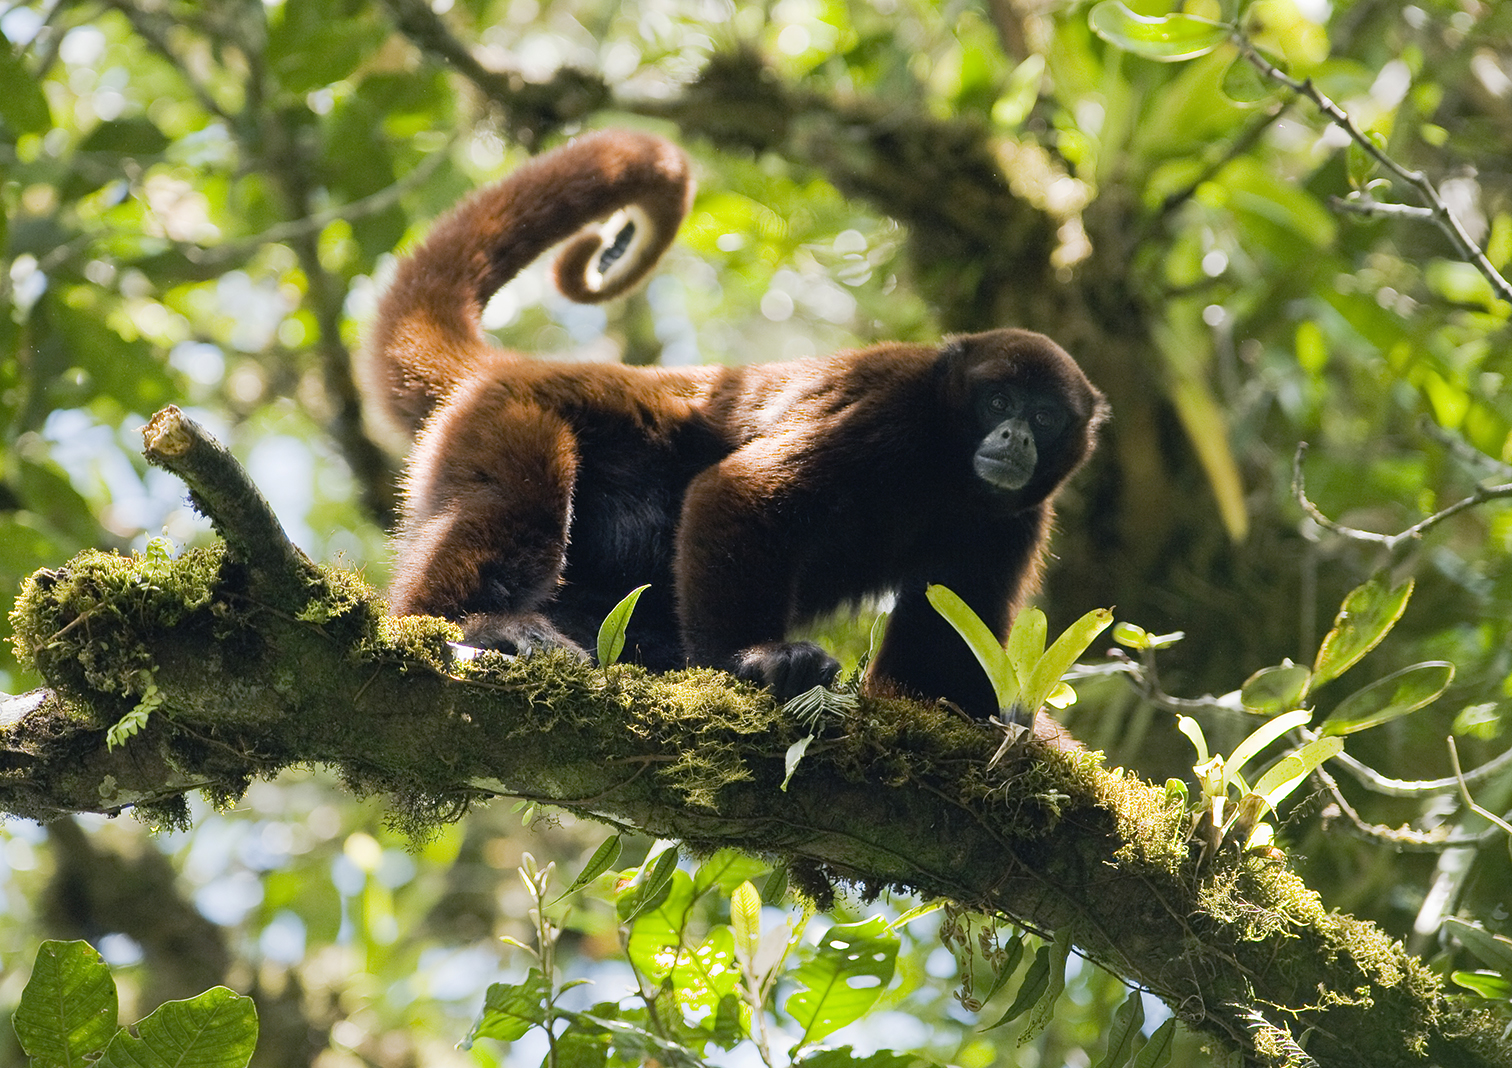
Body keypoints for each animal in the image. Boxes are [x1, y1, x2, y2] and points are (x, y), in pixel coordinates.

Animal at [359, 127, 1106, 723]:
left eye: (1044, 415)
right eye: (998, 402)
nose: (1015, 438)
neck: (944, 464)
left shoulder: (1015, 520)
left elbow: (939, 654)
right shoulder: (889, 409)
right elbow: (742, 490)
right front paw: (757, 663)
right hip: (505, 415)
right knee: (514, 498)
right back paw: (482, 624)